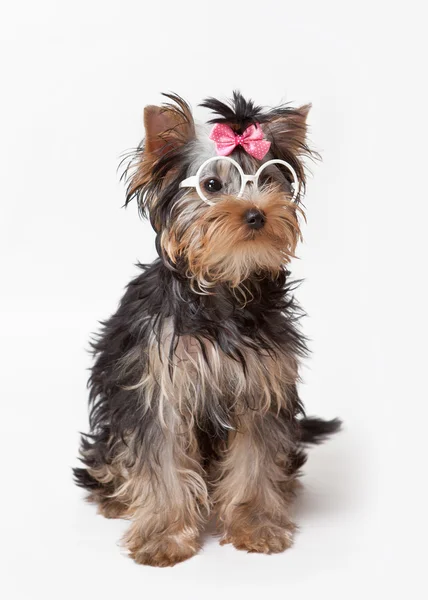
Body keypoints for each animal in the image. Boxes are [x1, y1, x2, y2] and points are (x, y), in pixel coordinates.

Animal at [73, 92, 342, 568]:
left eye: (270, 179)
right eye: (212, 185)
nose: (257, 214)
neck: (223, 288)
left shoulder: (262, 384)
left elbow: (255, 457)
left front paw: (256, 524)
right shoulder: (160, 388)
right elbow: (161, 458)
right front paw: (164, 534)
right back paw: (115, 494)